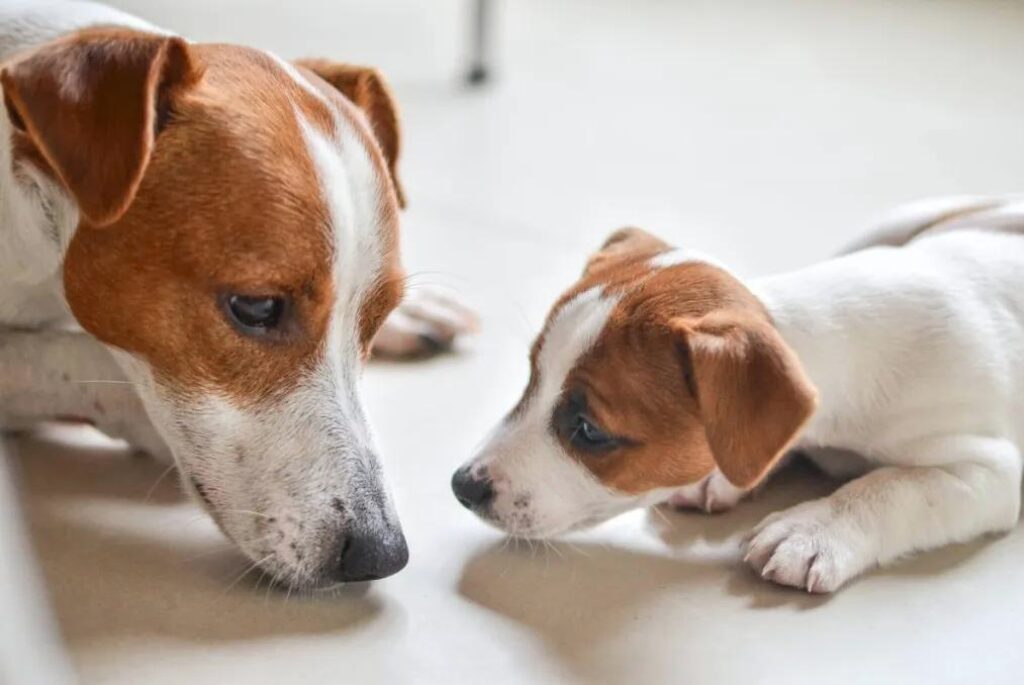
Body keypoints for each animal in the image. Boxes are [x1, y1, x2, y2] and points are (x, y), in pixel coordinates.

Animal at [454, 194, 1024, 589]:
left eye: (589, 430)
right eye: (533, 379)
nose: (462, 485)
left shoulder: (992, 470)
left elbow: (894, 486)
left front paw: (813, 530)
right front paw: (725, 476)